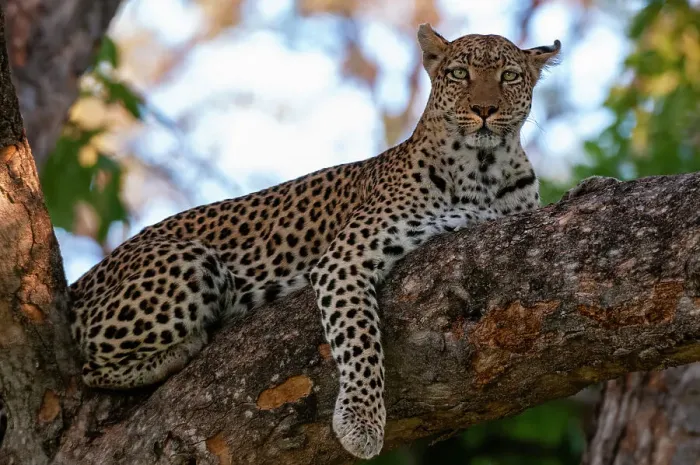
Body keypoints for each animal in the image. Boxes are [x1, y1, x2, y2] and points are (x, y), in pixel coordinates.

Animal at [66, 24, 560, 459]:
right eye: (459, 73)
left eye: (509, 76)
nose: (483, 109)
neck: (484, 170)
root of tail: (82, 281)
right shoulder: (345, 258)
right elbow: (360, 339)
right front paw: (361, 422)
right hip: (191, 260)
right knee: (89, 364)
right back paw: (182, 348)